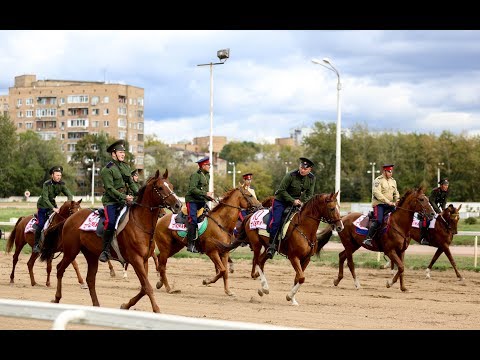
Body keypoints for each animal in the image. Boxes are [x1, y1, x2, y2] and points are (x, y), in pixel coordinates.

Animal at [40, 169, 182, 312]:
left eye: (171, 186)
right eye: (160, 187)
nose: (178, 205)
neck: (139, 223)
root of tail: (69, 219)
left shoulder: (144, 260)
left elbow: (143, 287)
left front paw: (125, 305)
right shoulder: (136, 259)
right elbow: (147, 287)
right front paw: (157, 310)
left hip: (91, 255)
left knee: (90, 279)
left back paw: (96, 304)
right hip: (71, 251)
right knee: (59, 269)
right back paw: (57, 298)